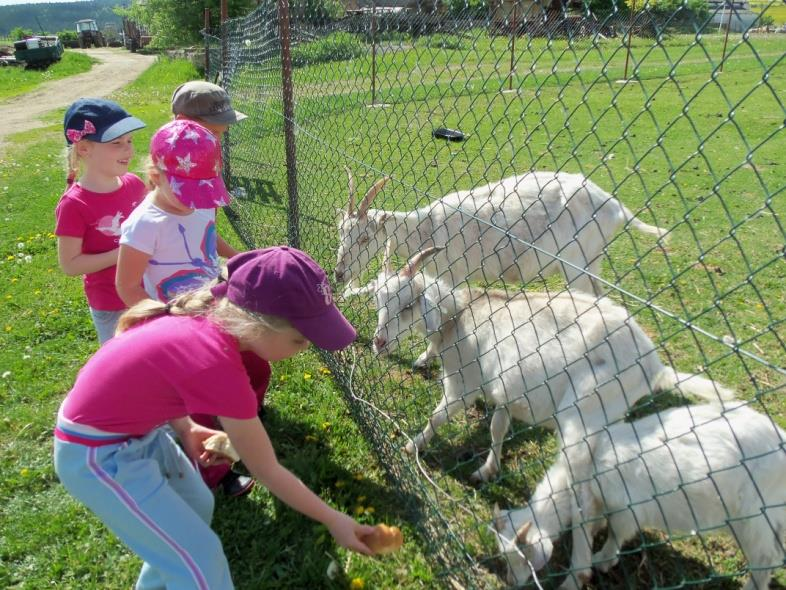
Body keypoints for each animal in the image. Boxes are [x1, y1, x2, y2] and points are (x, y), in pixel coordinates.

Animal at [334, 169, 664, 298]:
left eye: (365, 238)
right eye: (341, 232)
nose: (339, 274)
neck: (428, 228)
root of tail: (615, 206)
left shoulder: (453, 275)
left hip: (577, 264)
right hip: (592, 261)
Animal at [370, 250, 732, 486]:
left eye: (408, 305)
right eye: (379, 301)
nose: (379, 342)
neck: (458, 317)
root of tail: (654, 363)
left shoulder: (463, 383)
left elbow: (437, 417)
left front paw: (412, 446)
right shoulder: (506, 389)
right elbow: (497, 428)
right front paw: (488, 470)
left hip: (585, 409)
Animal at [496, 404, 784, 590]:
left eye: (521, 557)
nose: (510, 582)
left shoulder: (626, 507)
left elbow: (616, 534)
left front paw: (602, 561)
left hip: (752, 517)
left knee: (765, 557)